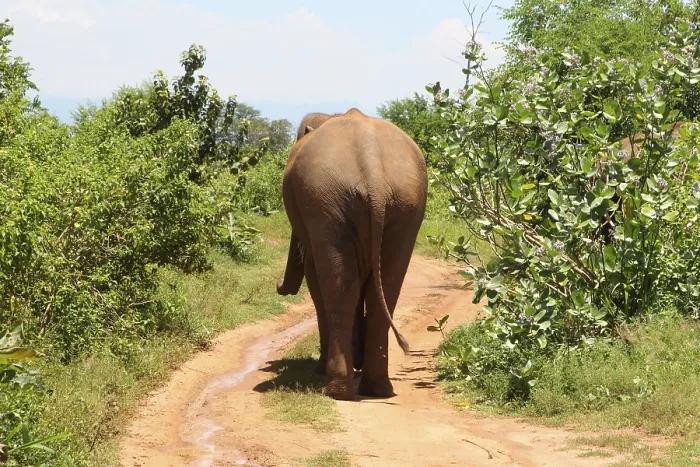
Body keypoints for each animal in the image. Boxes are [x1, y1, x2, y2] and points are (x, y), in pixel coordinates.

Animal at [276, 108, 428, 400]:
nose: (278, 284)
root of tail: (374, 175)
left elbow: (315, 276)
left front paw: (321, 368)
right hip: (405, 206)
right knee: (383, 290)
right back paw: (377, 388)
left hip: (327, 203)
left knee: (340, 290)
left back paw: (336, 390)